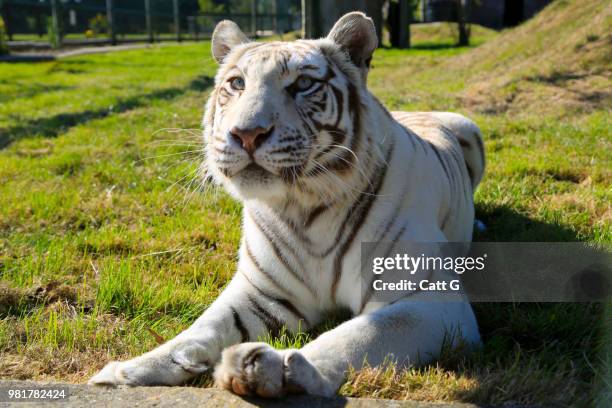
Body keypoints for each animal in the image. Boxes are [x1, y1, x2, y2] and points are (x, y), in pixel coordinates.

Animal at [88, 11, 486, 396]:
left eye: (303, 84)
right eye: (237, 84)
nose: (247, 133)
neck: (304, 208)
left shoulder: (429, 299)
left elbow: (354, 336)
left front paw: (281, 369)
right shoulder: (262, 293)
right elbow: (201, 330)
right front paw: (124, 372)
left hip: (470, 131)